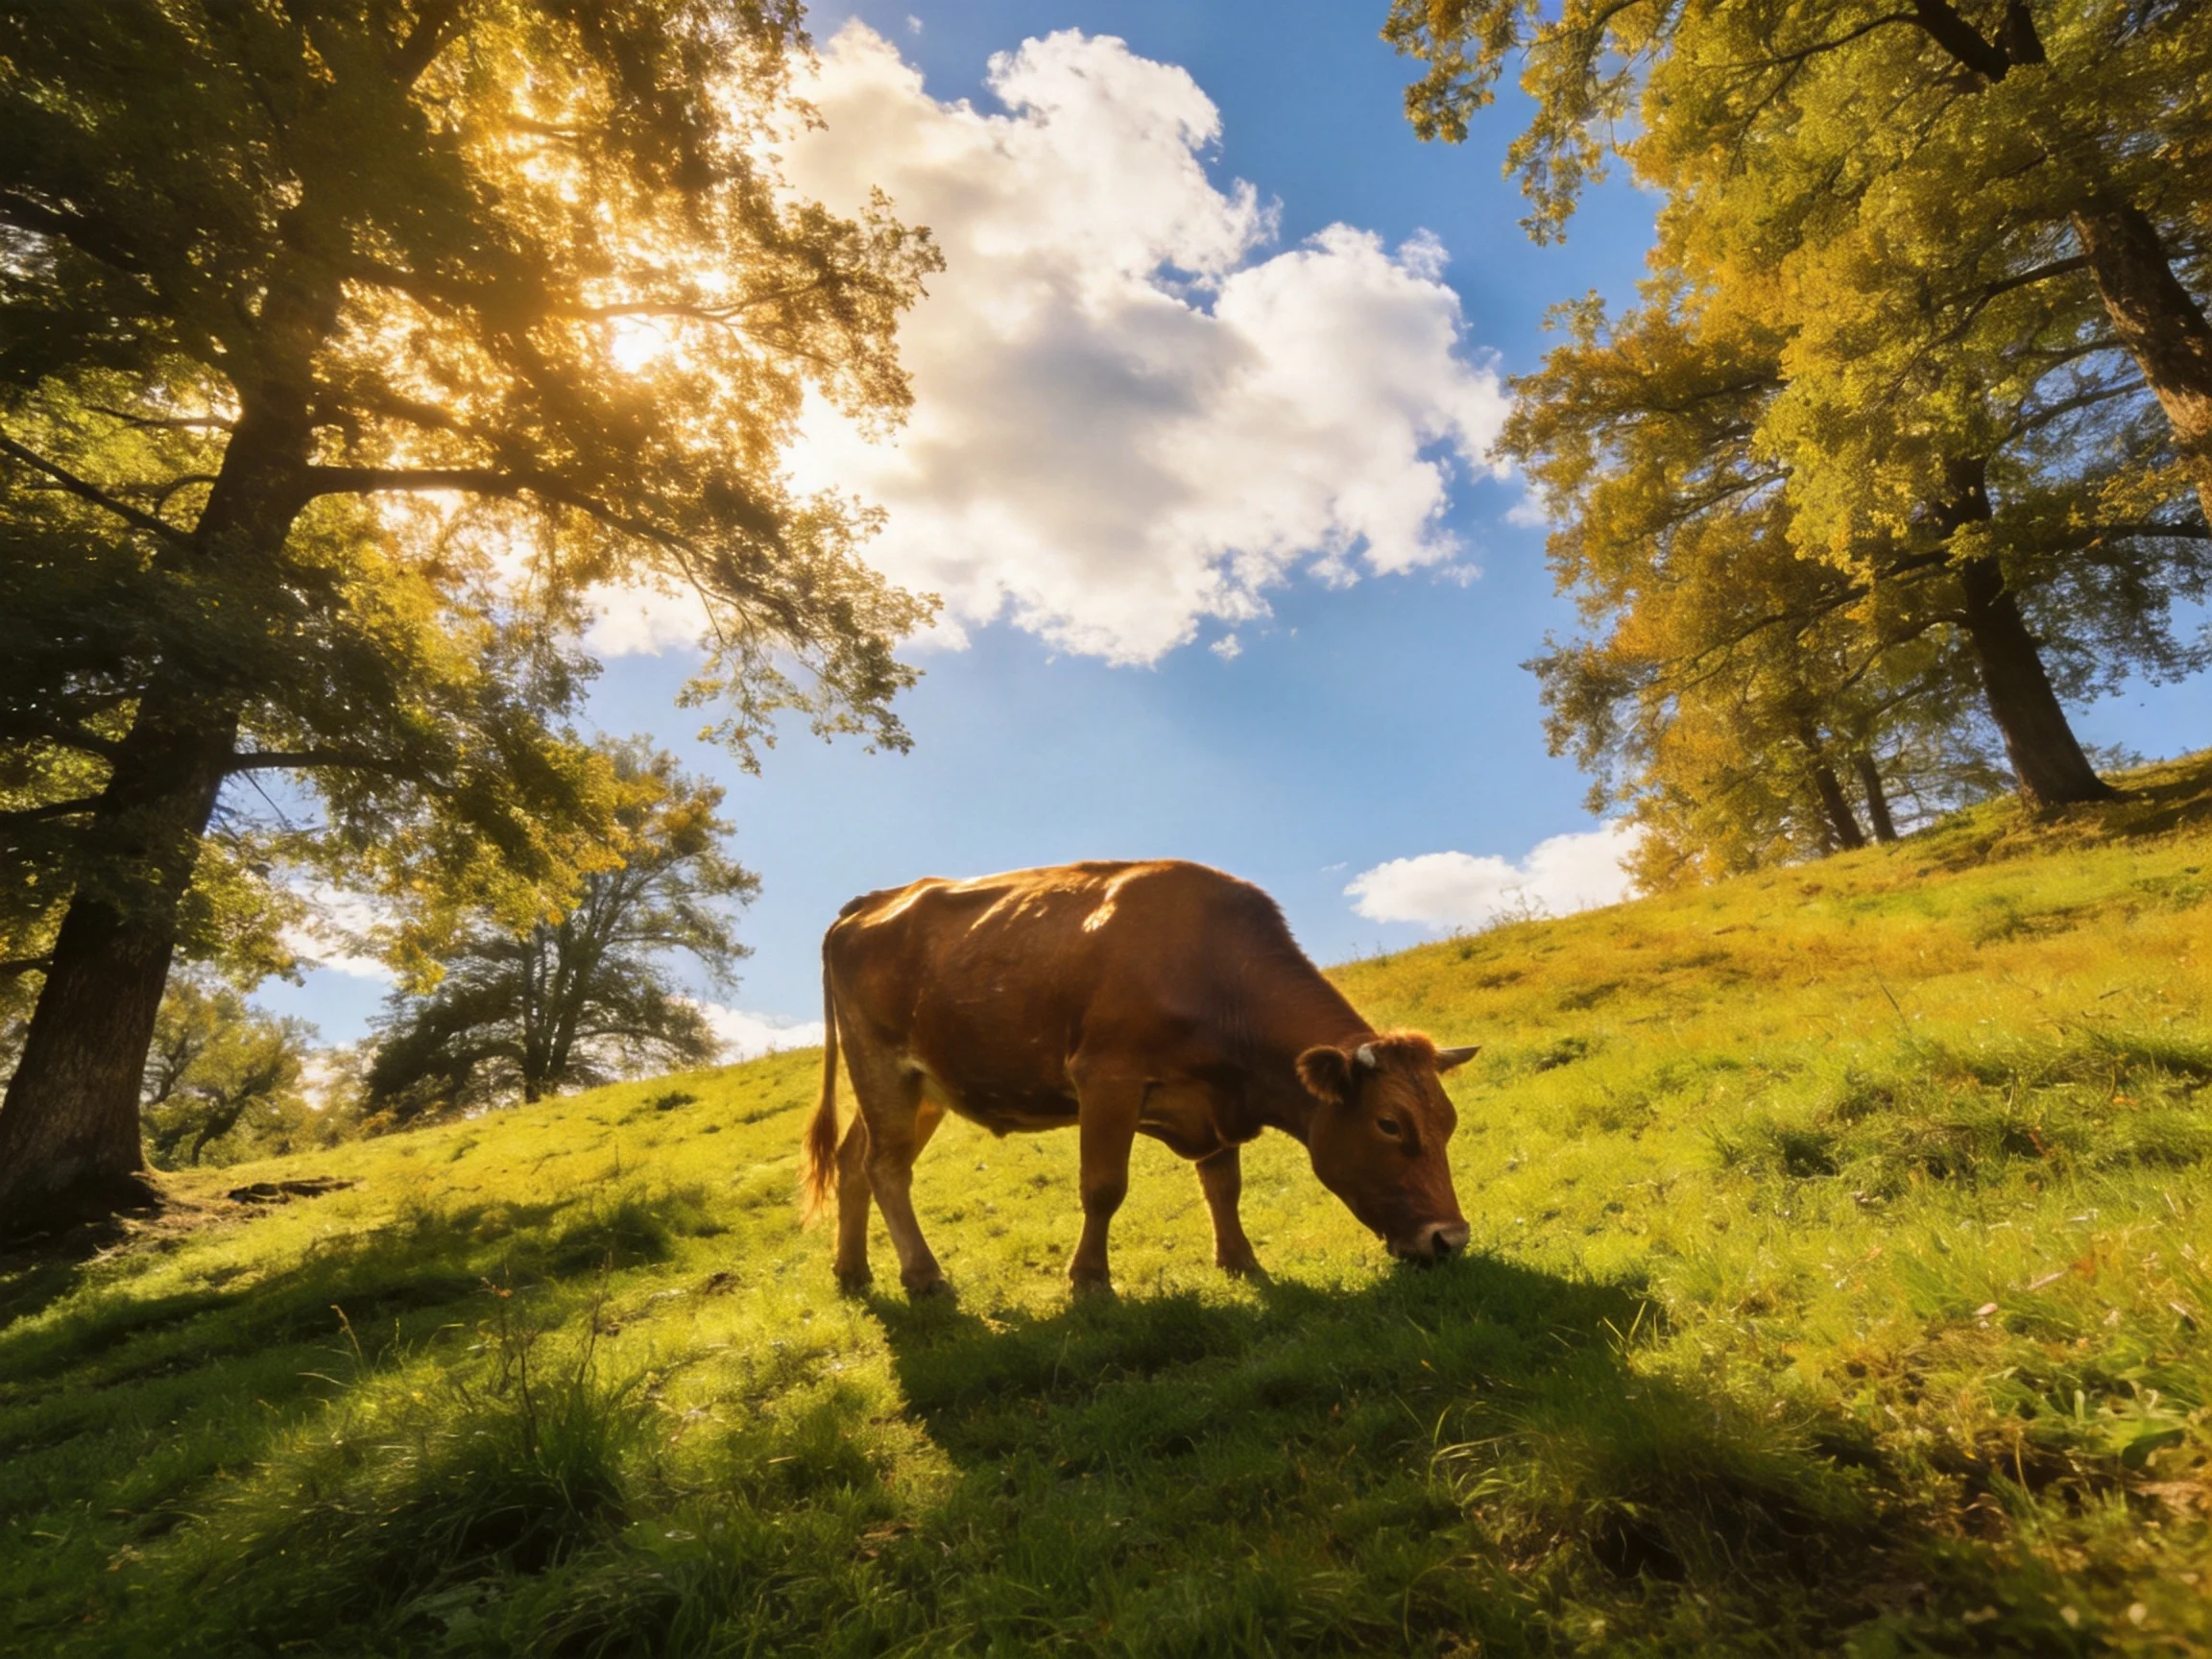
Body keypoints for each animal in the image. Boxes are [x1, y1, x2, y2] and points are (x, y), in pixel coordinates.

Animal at [802, 859, 1477, 1297]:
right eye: (1389, 1124)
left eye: (1448, 1122)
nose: (1450, 1239)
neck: (1214, 974)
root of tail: (867, 902)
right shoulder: (1108, 1080)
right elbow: (1103, 1187)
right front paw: (1090, 1281)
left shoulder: (1215, 1102)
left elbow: (1224, 1187)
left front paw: (1241, 1263)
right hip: (881, 1067)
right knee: (886, 1168)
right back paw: (924, 1277)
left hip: (922, 1090)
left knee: (855, 1160)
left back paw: (852, 1271)